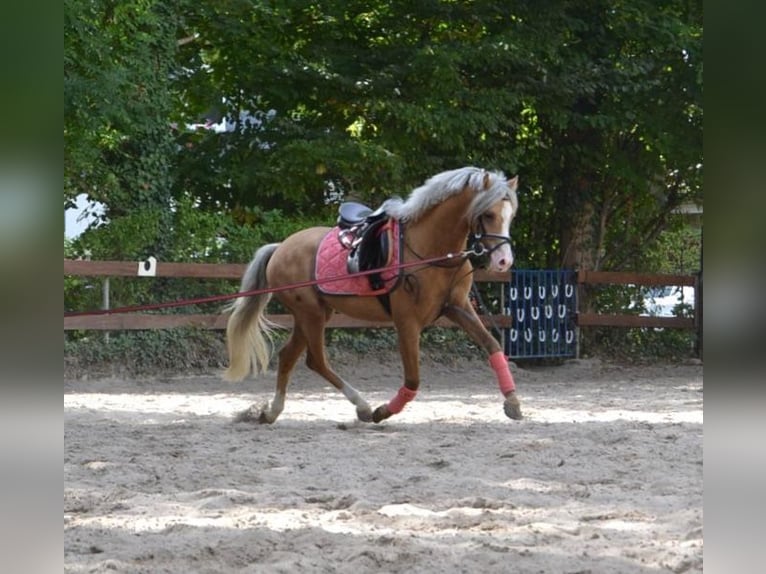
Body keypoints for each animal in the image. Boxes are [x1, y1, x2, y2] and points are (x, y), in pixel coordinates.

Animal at [222, 165, 520, 424]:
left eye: (511, 215)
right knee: (316, 360)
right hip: (311, 314)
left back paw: (271, 412)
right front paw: (382, 411)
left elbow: (493, 346)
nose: (504, 261)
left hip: (313, 315)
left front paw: (513, 402)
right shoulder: (407, 322)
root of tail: (280, 247)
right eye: (489, 214)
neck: (431, 250)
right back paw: (363, 407)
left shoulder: (457, 308)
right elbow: (413, 380)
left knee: (288, 356)